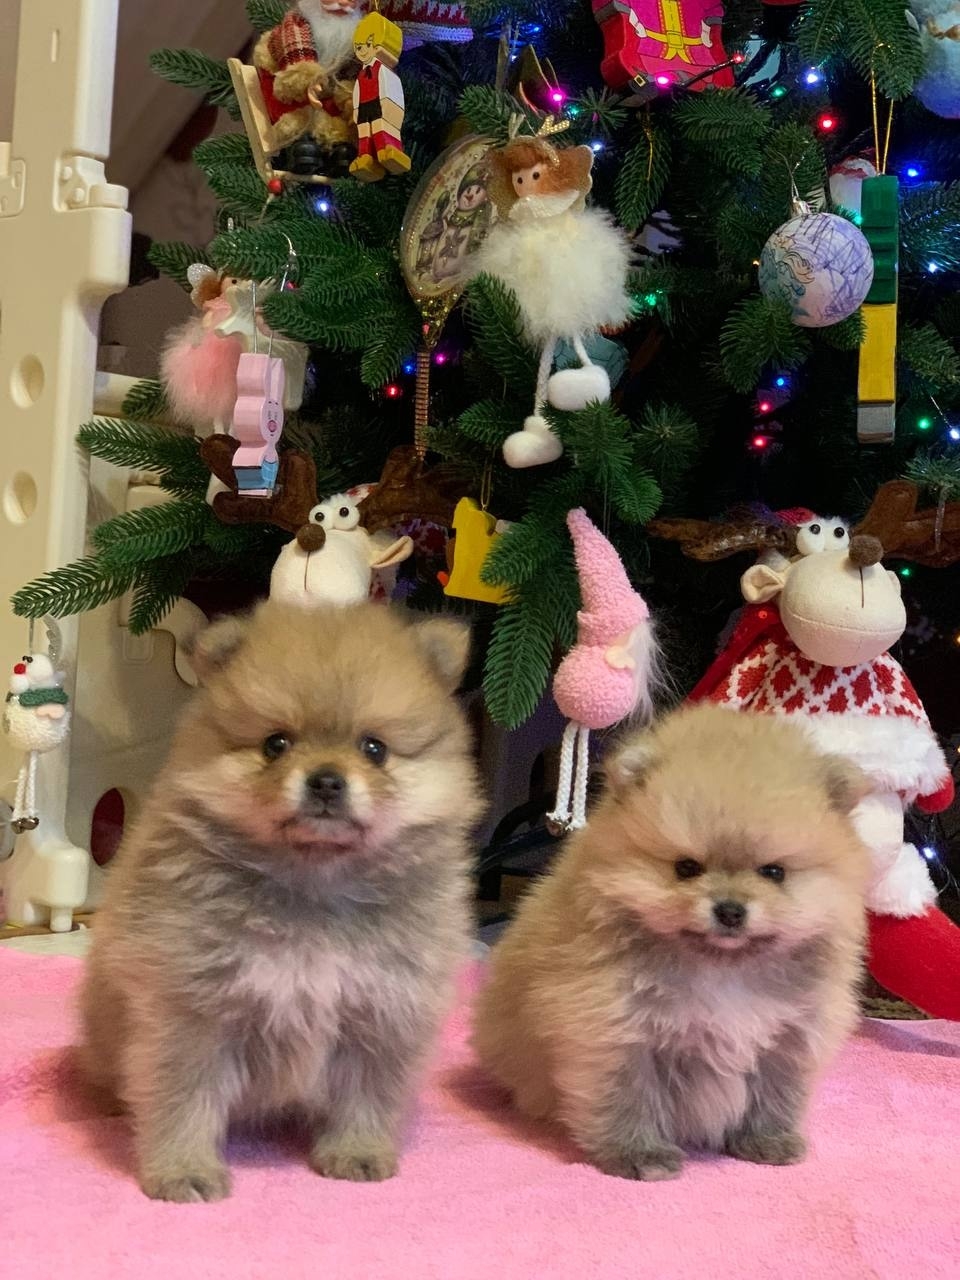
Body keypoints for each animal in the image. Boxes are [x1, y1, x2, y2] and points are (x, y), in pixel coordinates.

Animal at [80, 600, 482, 1201]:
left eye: (374, 748)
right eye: (276, 744)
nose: (326, 780)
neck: (314, 887)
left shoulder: (383, 1010)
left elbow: (367, 1096)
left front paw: (357, 1153)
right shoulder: (189, 1011)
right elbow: (182, 1100)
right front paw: (182, 1171)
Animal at [473, 703, 871, 1180]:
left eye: (774, 872)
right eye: (686, 868)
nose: (730, 910)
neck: (722, 967)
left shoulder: (790, 1038)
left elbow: (776, 1094)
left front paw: (768, 1141)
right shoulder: (613, 1030)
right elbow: (628, 1098)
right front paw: (639, 1155)